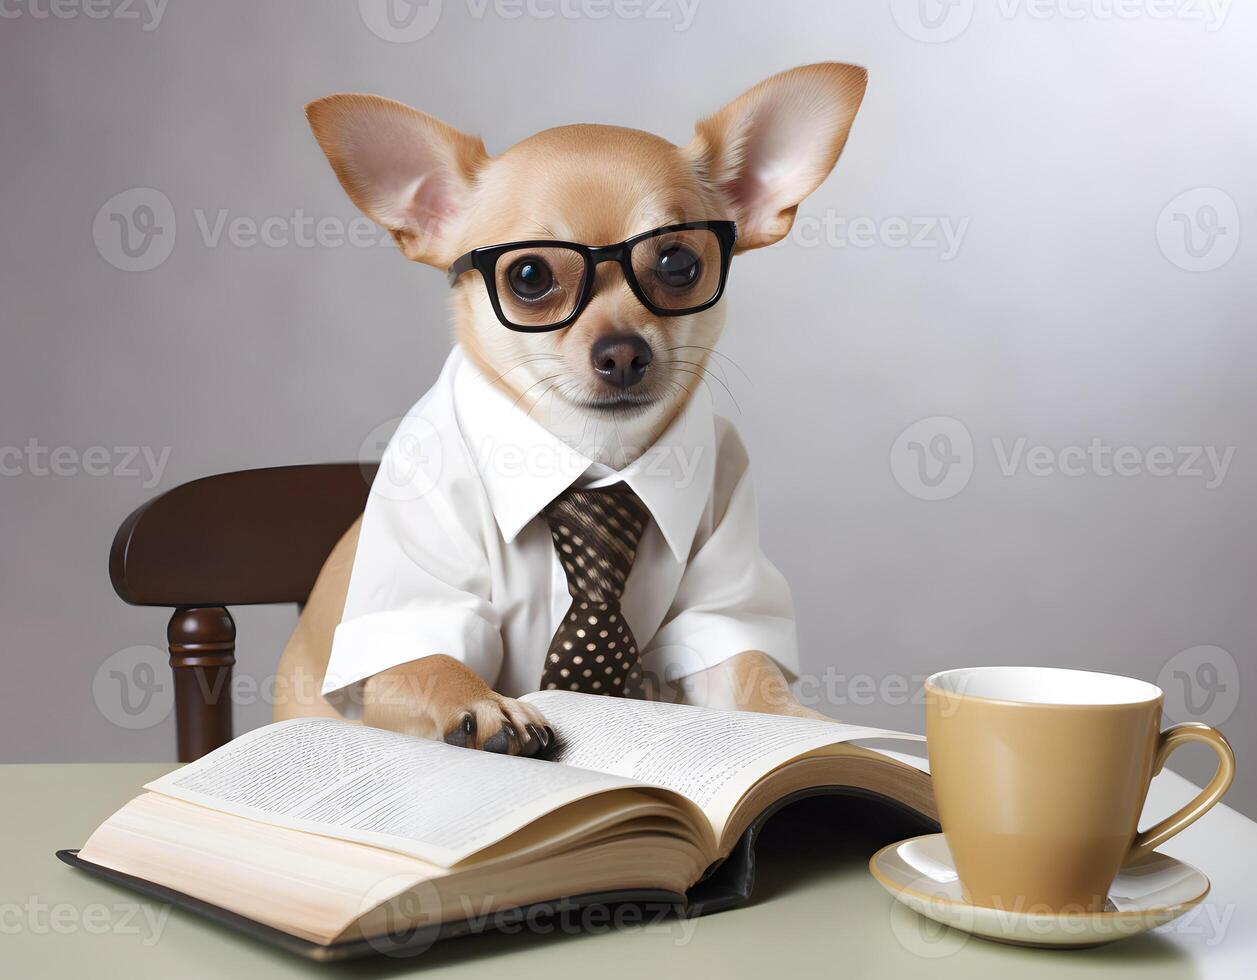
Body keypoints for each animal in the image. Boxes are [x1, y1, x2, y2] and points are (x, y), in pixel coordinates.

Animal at [274, 65, 864, 758]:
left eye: (679, 263)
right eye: (529, 276)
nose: (623, 352)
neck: (593, 455)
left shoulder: (722, 588)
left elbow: (753, 681)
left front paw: (823, 736)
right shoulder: (404, 626)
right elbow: (435, 665)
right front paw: (486, 704)